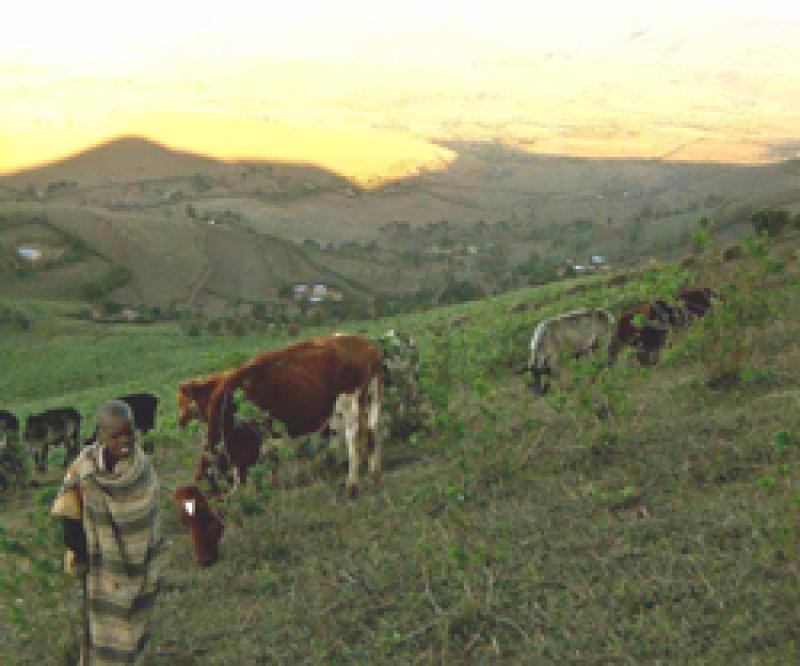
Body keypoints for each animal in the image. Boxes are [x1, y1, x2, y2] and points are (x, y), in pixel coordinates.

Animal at [173, 332, 384, 564]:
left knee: (353, 437)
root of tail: (363, 343)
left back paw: (352, 487)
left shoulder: (246, 450)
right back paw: (375, 477)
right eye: (184, 521)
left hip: (350, 402)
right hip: (369, 398)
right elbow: (268, 468)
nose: (203, 560)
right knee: (372, 432)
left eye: (205, 518)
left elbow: (242, 487)